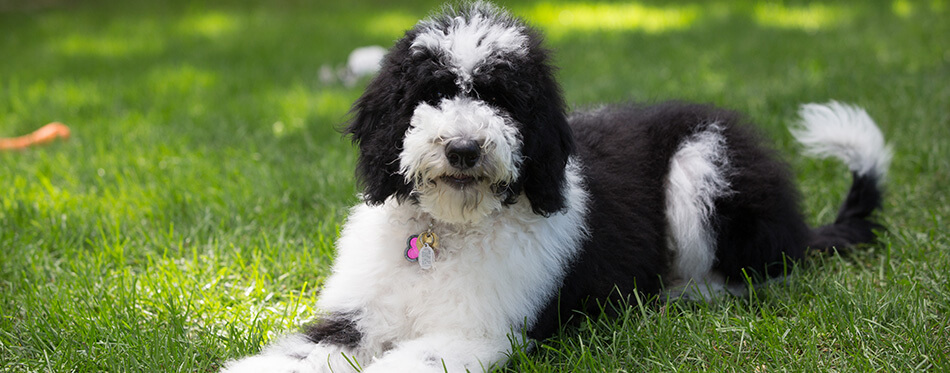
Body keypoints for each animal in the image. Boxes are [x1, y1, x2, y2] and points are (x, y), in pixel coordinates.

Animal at [223, 1, 892, 370]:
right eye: (430, 92)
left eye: (503, 99)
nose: (463, 148)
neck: (448, 234)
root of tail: (800, 224)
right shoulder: (358, 313)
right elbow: (304, 352)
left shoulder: (478, 333)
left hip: (703, 163)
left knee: (760, 272)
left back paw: (676, 294)